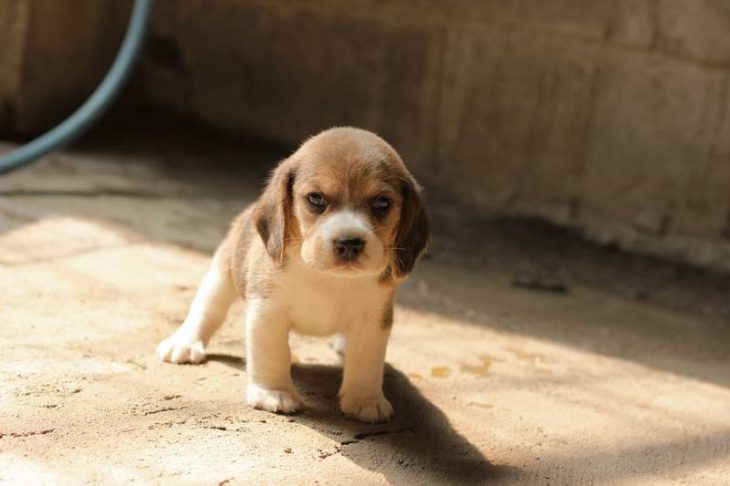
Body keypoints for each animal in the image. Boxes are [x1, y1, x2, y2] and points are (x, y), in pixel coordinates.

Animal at [154, 127, 426, 424]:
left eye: (382, 203)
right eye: (316, 199)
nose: (349, 243)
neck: (328, 278)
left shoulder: (374, 318)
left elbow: (366, 361)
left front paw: (365, 399)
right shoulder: (268, 310)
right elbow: (273, 353)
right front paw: (274, 393)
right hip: (221, 276)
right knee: (207, 310)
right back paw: (184, 343)